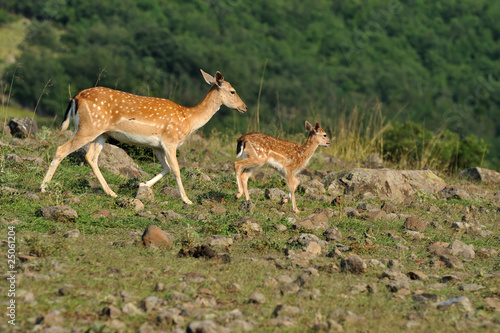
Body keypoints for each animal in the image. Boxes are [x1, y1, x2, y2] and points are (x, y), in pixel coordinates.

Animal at [41, 69, 246, 202]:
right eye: (232, 91)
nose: (244, 107)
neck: (189, 119)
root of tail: (76, 97)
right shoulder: (171, 141)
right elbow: (177, 169)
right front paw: (186, 199)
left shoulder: (157, 146)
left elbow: (167, 168)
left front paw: (143, 184)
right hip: (88, 127)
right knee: (61, 149)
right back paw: (43, 187)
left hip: (101, 133)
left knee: (90, 156)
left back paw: (111, 193)